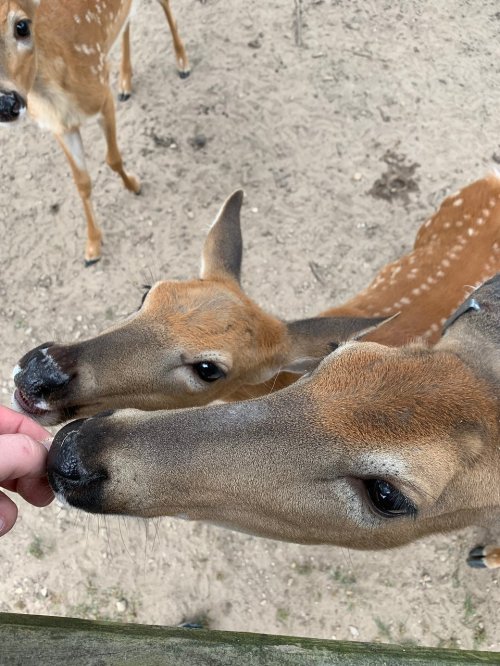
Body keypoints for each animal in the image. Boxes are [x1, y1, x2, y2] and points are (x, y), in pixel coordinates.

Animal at [0, 0, 189, 264]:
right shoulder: (59, 126)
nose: (5, 102)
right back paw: (125, 82)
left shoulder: (102, 96)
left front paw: (134, 185)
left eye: (22, 26)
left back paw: (182, 62)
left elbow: (112, 159)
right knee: (128, 20)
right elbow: (81, 182)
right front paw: (92, 246)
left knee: (164, 5)